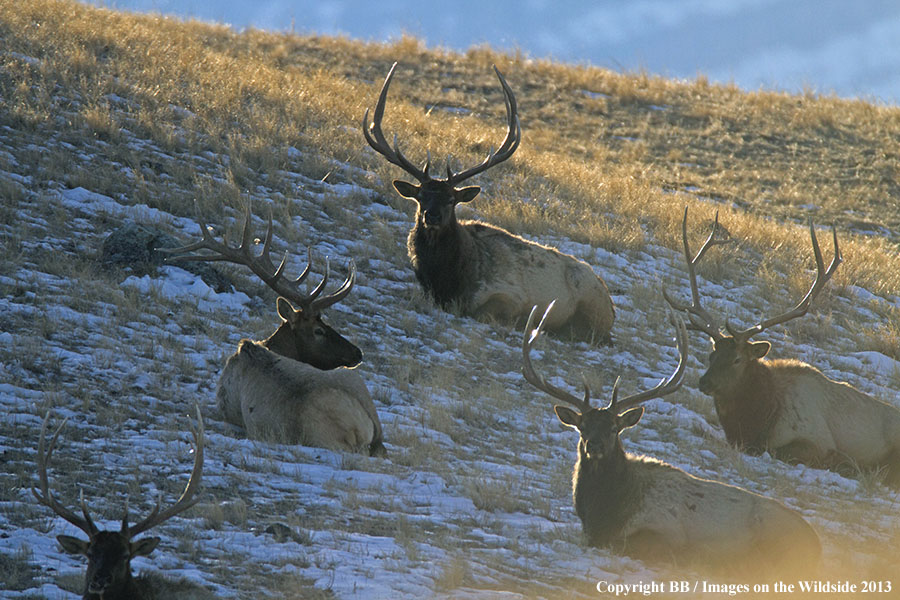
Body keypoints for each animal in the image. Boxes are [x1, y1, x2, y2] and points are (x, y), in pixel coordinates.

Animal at [362, 62, 615, 343]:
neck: (448, 280)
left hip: (591, 305)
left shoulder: (510, 296)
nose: (432, 216)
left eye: (451, 199)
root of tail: (611, 303)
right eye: (420, 196)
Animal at [522, 302, 822, 578]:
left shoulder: (665, 532)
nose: (594, 445)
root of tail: (816, 543)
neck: (605, 512)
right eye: (582, 427)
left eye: (614, 428)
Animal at [664, 207, 900, 487]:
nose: (705, 382)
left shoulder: (816, 439)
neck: (757, 417)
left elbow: (781, 451)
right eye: (712, 355)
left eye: (737, 359)